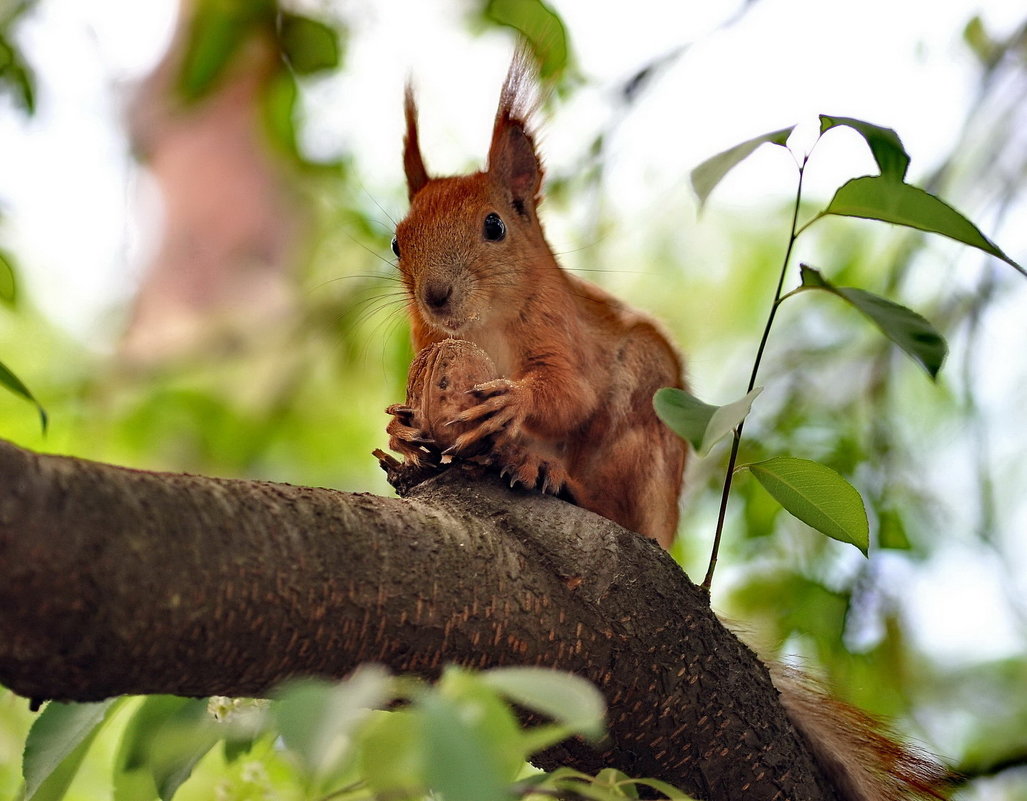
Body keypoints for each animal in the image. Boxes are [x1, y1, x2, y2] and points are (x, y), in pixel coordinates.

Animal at [384, 51, 690, 550]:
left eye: (494, 226)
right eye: (397, 242)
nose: (435, 297)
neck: (483, 323)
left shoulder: (559, 327)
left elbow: (571, 393)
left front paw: (515, 400)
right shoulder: (428, 341)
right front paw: (400, 430)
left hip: (644, 417)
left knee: (616, 506)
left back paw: (554, 474)